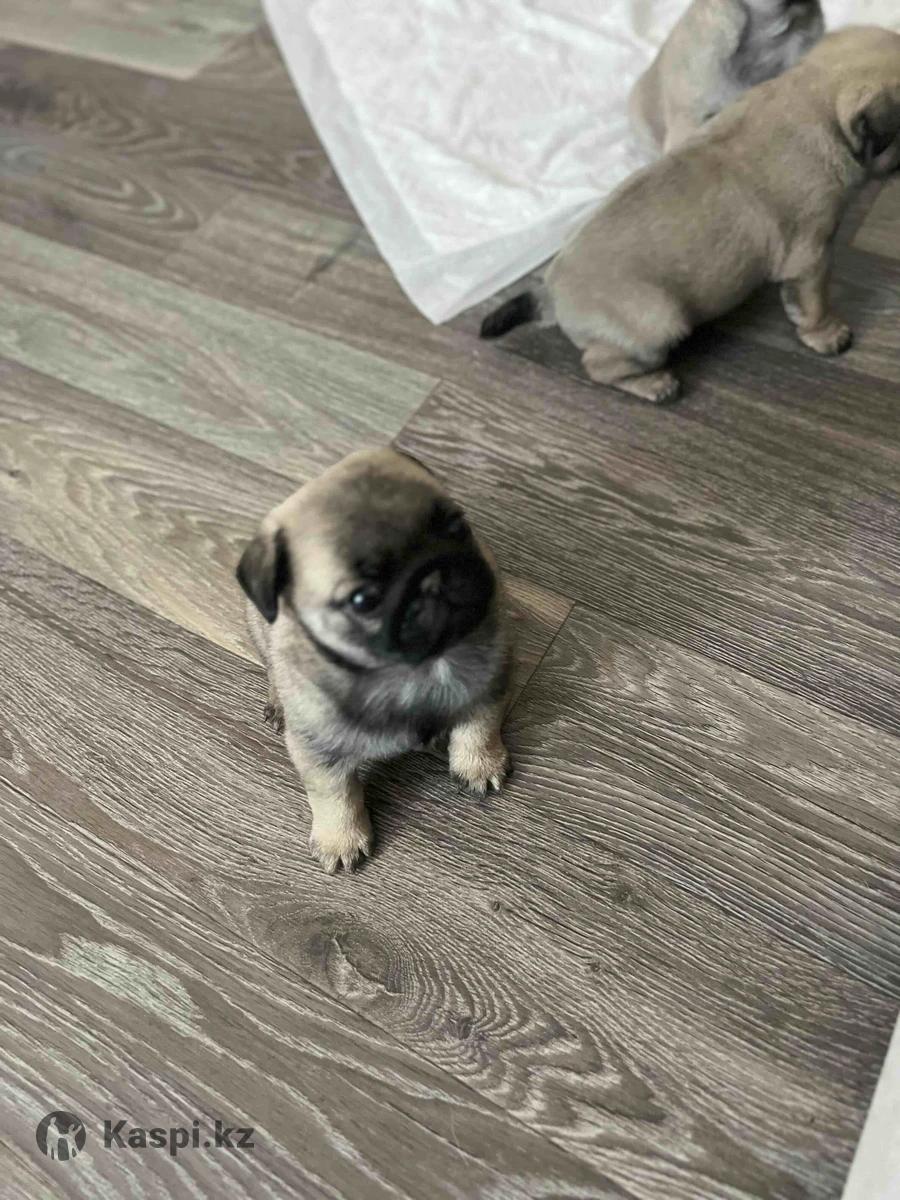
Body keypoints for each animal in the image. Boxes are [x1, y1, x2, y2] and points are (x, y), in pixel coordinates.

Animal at [237, 448, 512, 873]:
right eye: (364, 600)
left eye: (457, 527)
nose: (432, 575)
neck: (415, 668)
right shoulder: (320, 753)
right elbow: (335, 795)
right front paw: (340, 838)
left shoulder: (488, 682)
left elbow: (480, 727)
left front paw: (479, 764)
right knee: (272, 669)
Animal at [481, 26, 900, 404]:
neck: (813, 95)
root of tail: (550, 295)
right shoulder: (810, 259)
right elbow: (814, 304)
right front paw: (827, 334)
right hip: (660, 320)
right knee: (600, 366)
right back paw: (654, 384)